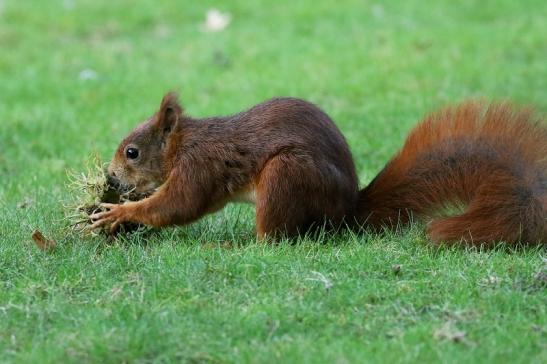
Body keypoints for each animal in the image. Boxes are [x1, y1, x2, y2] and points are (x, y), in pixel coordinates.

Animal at [91, 92, 547, 246]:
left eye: (131, 152)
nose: (110, 178)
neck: (184, 143)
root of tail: (346, 214)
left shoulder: (199, 166)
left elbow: (179, 205)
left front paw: (119, 212)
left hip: (287, 175)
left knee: (272, 241)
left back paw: (227, 246)